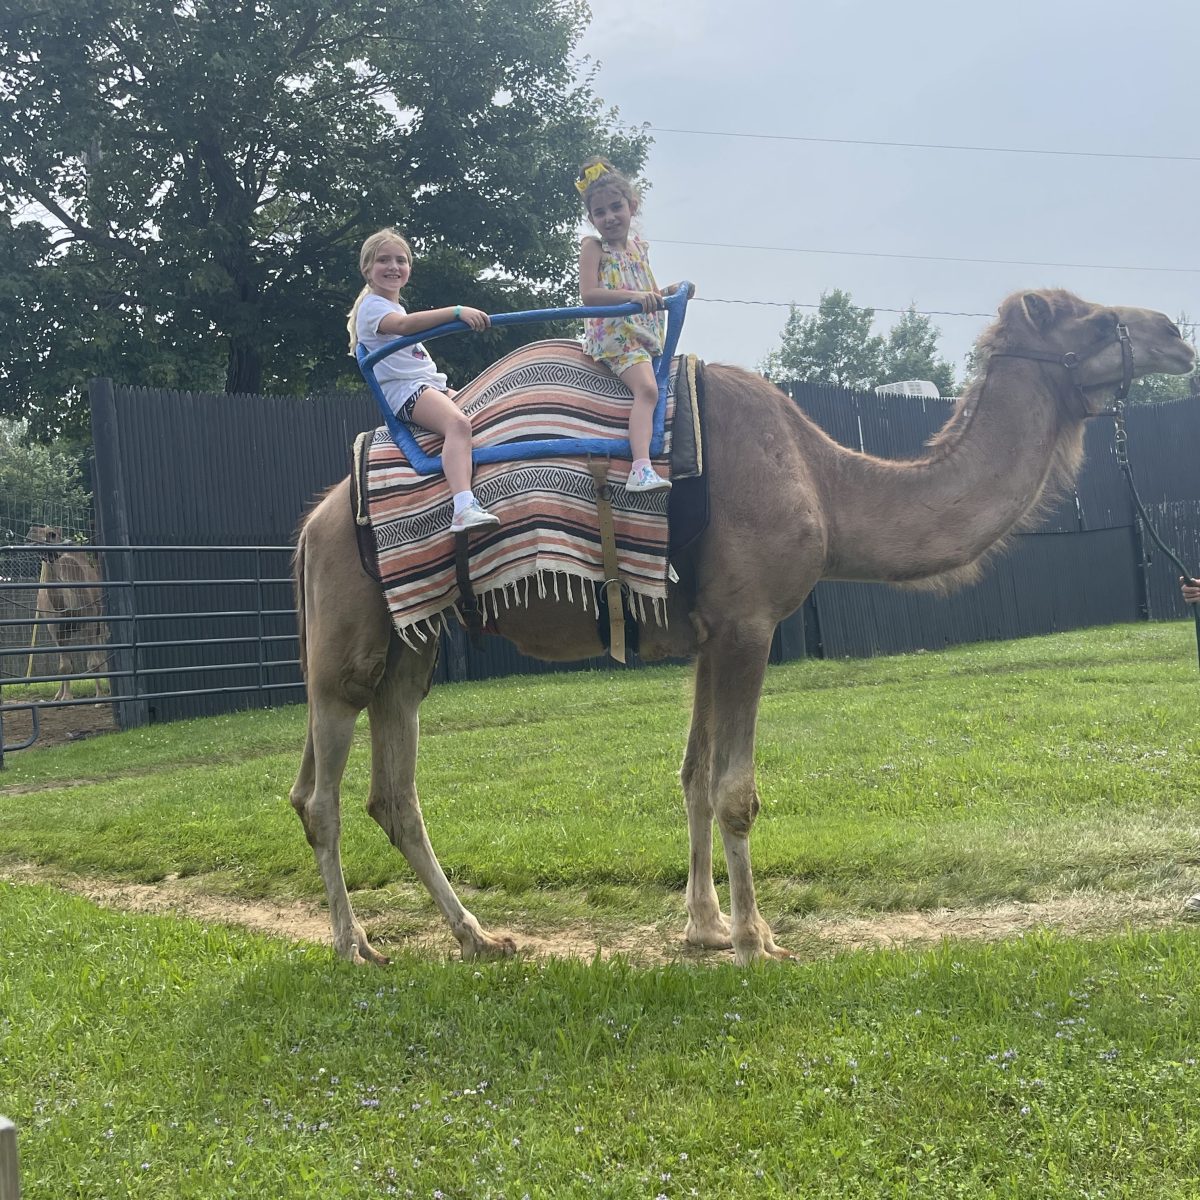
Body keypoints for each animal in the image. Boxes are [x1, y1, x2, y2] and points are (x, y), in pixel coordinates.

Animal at [27, 525, 108, 702]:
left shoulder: (90, 621)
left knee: (101, 651)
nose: (31, 532)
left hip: (100, 622)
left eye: (52, 534)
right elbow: (64, 665)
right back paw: (58, 694)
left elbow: (93, 662)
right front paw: (66, 698)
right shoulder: (56, 628)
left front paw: (99, 697)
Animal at [291, 289, 1194, 965]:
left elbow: (693, 776)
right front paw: (759, 940)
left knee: (391, 792)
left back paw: (480, 938)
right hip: (347, 641)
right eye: (1091, 319)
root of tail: (313, 523)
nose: (1172, 332)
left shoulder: (705, 633)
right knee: (320, 794)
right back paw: (354, 944)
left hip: (411, 642)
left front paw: (707, 927)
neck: (825, 482)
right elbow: (735, 791)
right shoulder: (749, 625)